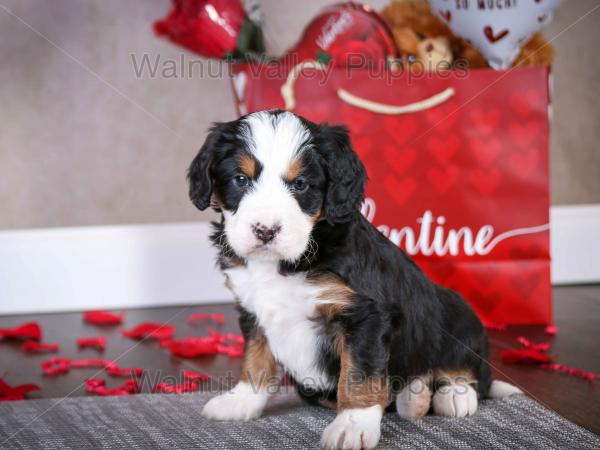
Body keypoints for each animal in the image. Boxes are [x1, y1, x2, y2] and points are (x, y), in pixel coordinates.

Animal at [189, 110, 520, 450]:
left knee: (472, 371)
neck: (287, 261)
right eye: (240, 179)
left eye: (301, 185)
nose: (265, 230)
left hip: (459, 313)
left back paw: (453, 394)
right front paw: (241, 401)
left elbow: (359, 375)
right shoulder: (253, 309)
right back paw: (414, 396)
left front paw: (353, 426)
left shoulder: (364, 315)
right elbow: (255, 360)